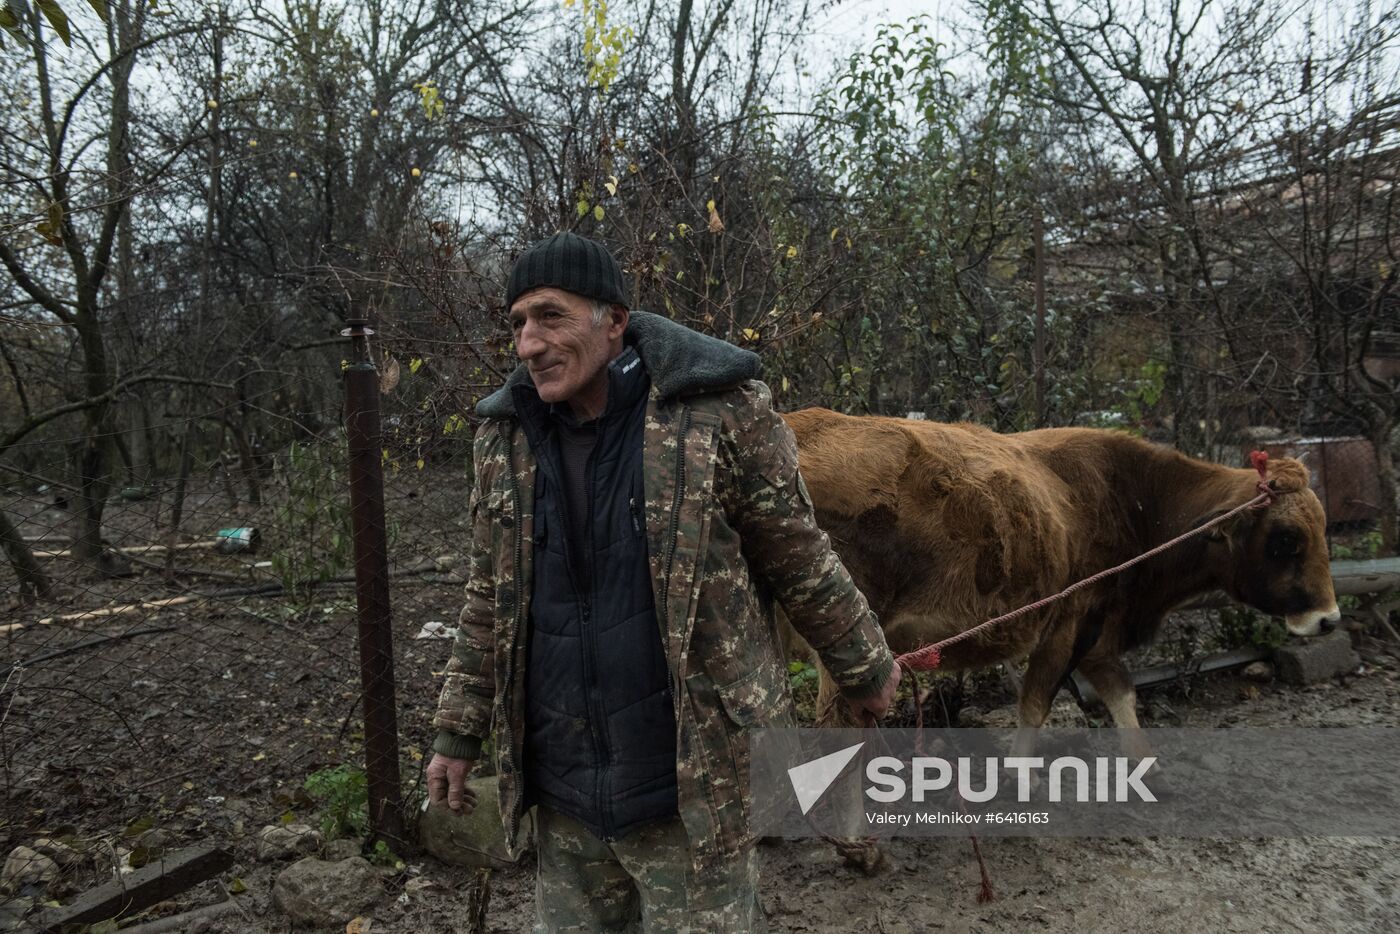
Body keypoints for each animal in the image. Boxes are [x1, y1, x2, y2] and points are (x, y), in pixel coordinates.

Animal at [784, 408, 1338, 750]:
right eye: (1286, 539)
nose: (1329, 619)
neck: (1131, 499)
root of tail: (800, 427)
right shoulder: (1070, 622)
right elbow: (1036, 702)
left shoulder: (1099, 630)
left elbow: (1120, 693)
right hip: (849, 649)